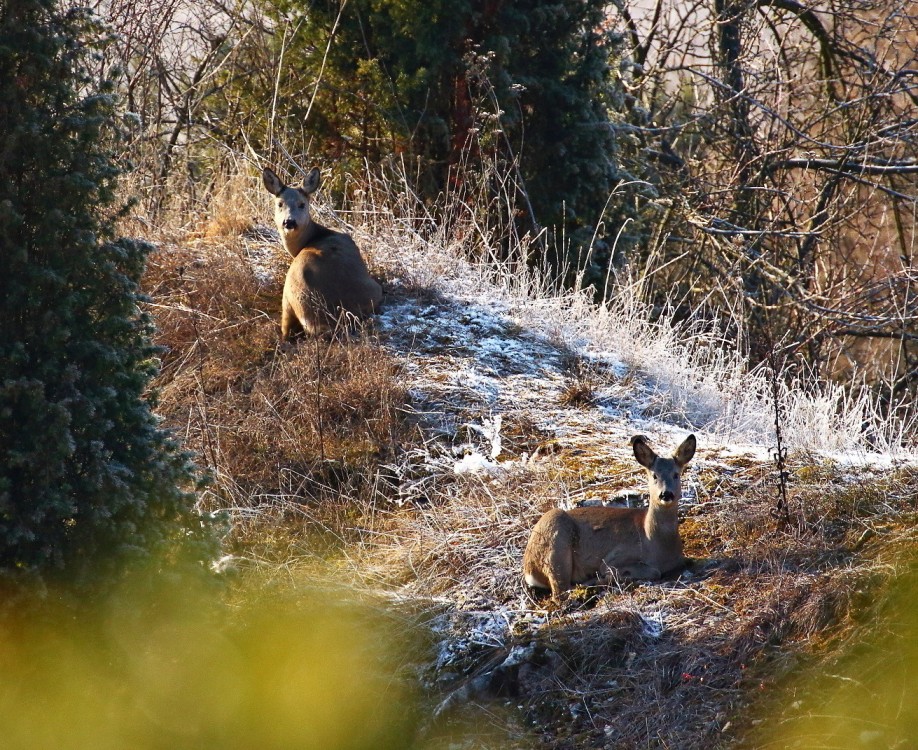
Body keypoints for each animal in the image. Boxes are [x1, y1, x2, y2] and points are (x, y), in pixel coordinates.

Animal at [262, 168, 384, 340]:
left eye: (302, 204)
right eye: (280, 204)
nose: (289, 222)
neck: (313, 236)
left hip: (288, 294)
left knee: (285, 331)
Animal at [524, 434, 696, 604]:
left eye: (676, 474)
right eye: (654, 475)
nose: (666, 494)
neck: (654, 540)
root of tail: (528, 567)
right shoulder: (614, 557)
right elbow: (653, 571)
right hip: (556, 541)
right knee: (560, 593)